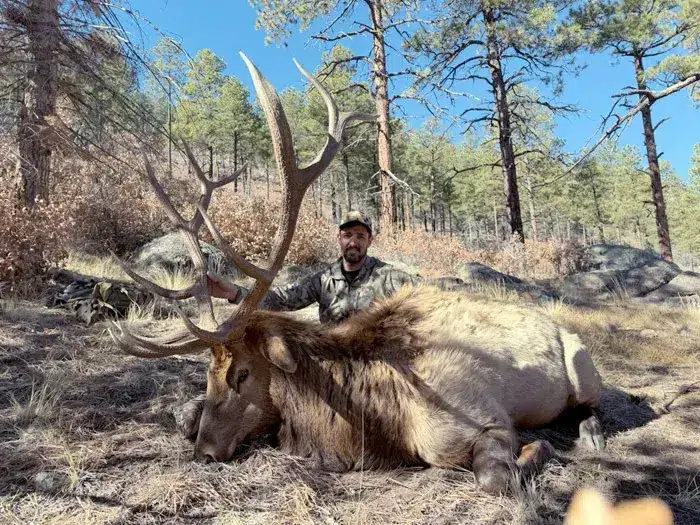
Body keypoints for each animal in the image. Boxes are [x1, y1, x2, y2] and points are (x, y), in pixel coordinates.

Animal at [109, 52, 606, 495]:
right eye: (209, 373)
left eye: (244, 374)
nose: (205, 452)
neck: (381, 418)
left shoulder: (485, 418)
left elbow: (495, 477)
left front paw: (543, 447)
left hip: (583, 365)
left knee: (591, 405)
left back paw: (591, 434)